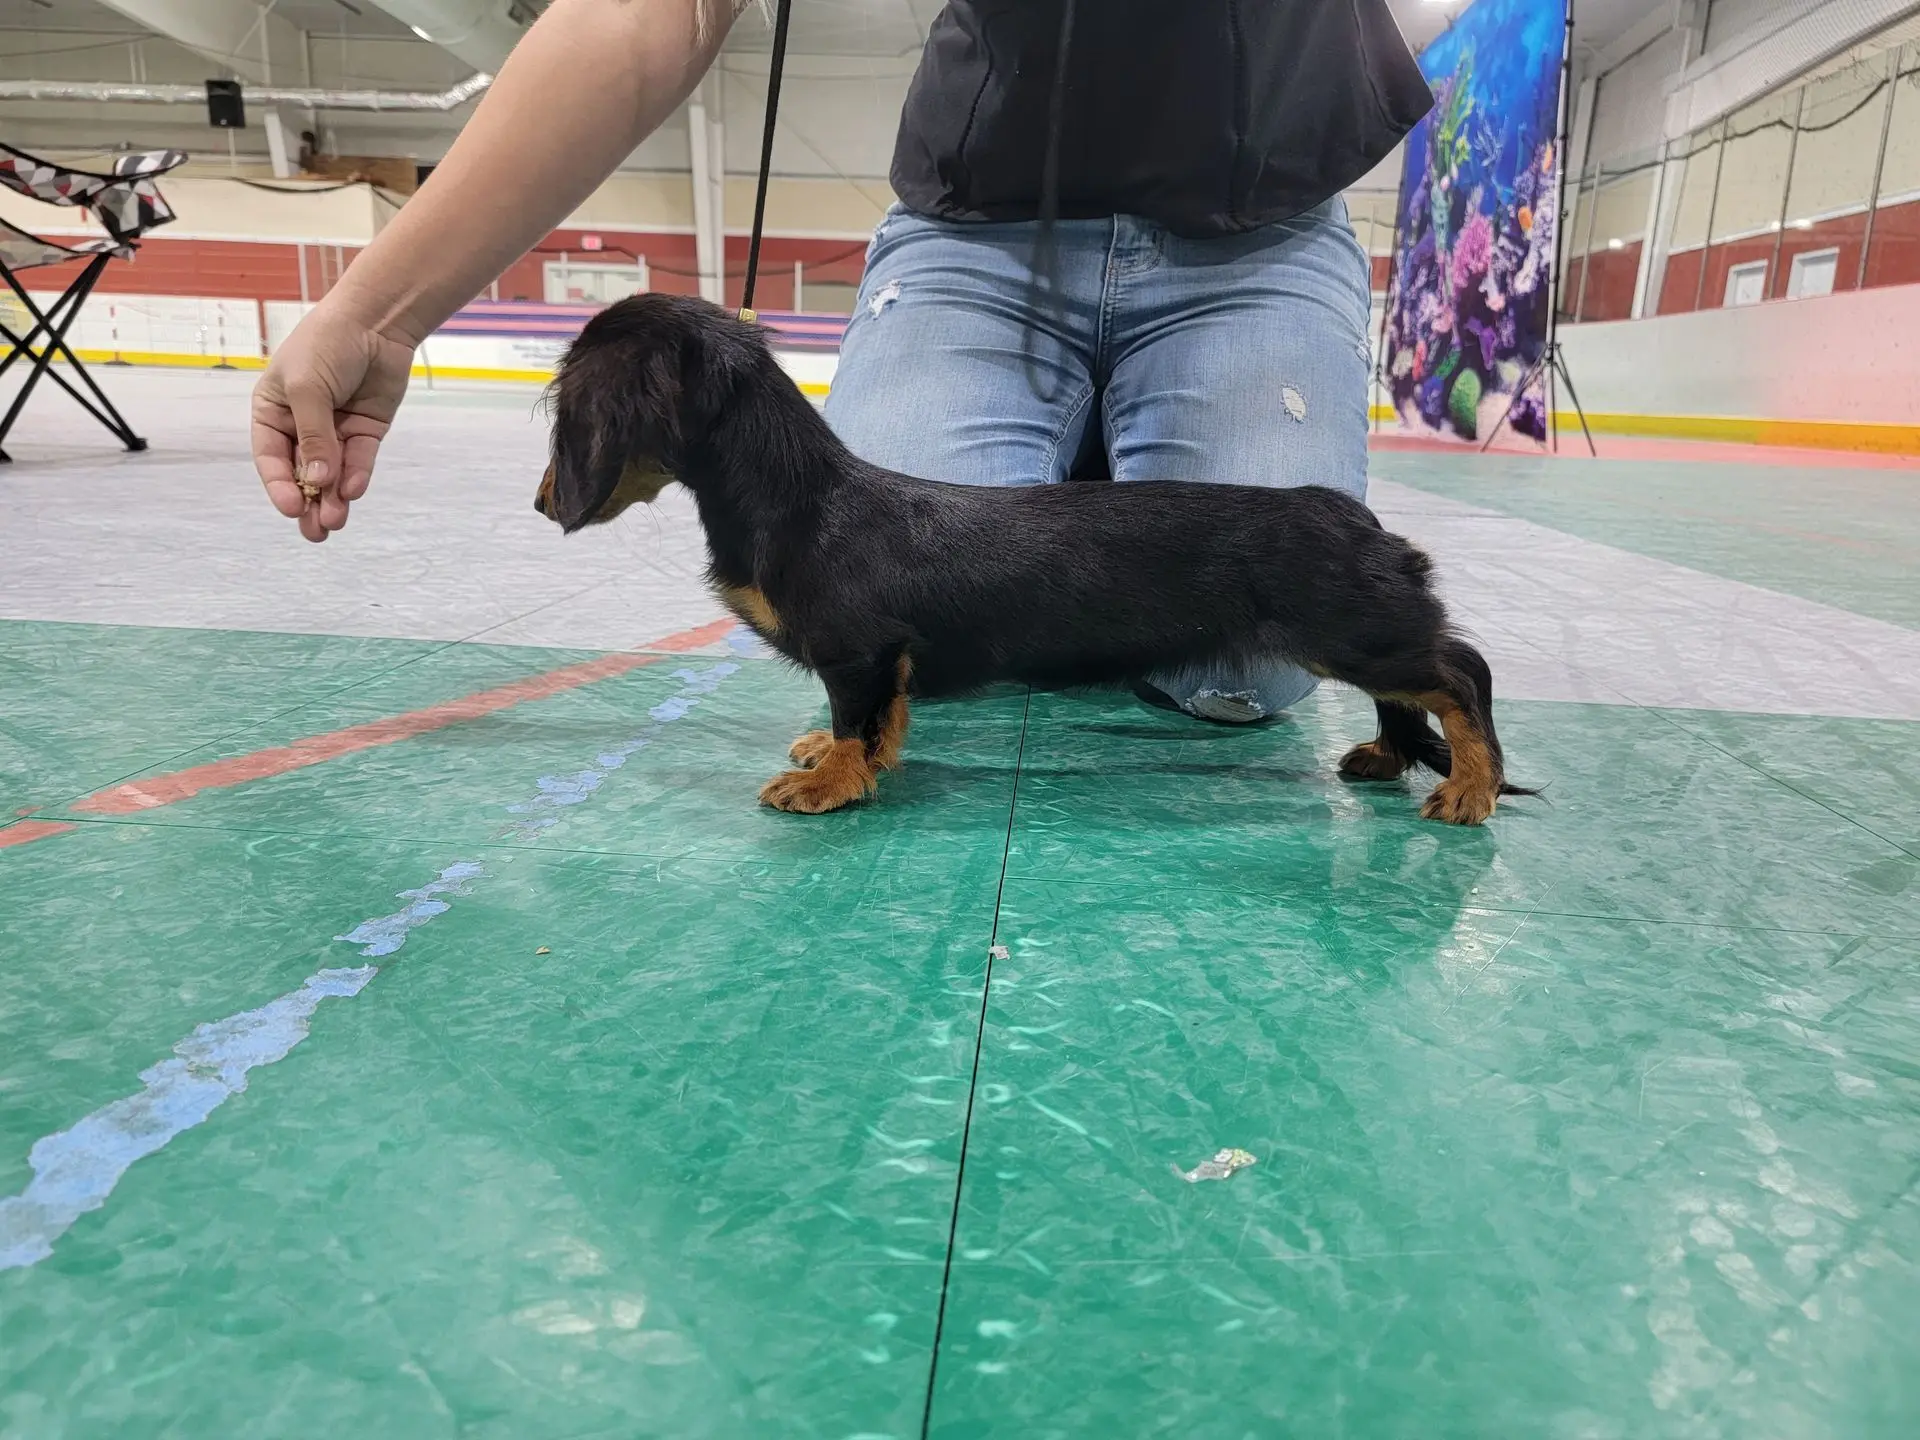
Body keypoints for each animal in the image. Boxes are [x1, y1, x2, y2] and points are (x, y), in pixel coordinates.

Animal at [535, 294, 1533, 824]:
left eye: (569, 407)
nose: (543, 503)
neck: (803, 499)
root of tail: (1357, 518)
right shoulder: (881, 661)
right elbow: (875, 722)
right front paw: (840, 757)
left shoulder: (859, 651)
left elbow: (858, 721)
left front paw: (828, 782)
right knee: (1417, 688)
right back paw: (1389, 756)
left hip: (1349, 629)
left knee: (1463, 671)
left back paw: (1470, 788)